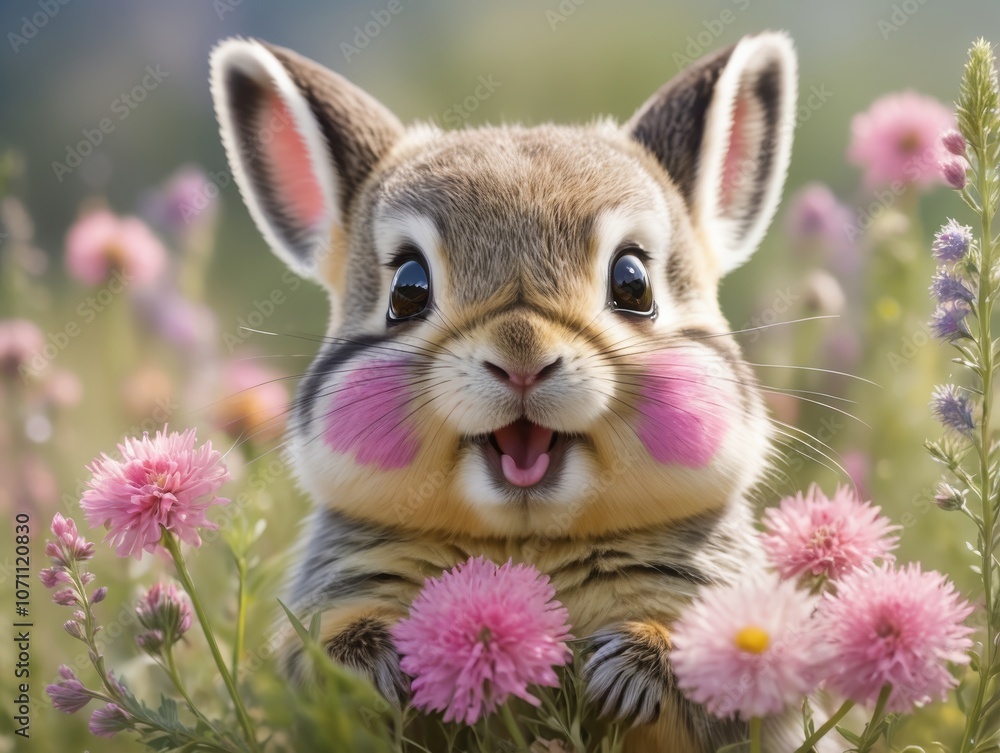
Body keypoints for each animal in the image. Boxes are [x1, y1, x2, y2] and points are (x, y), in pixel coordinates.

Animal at [209, 30, 819, 752]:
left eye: (633, 282)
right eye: (407, 289)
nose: (522, 357)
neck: (526, 542)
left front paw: (629, 667)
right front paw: (377, 667)